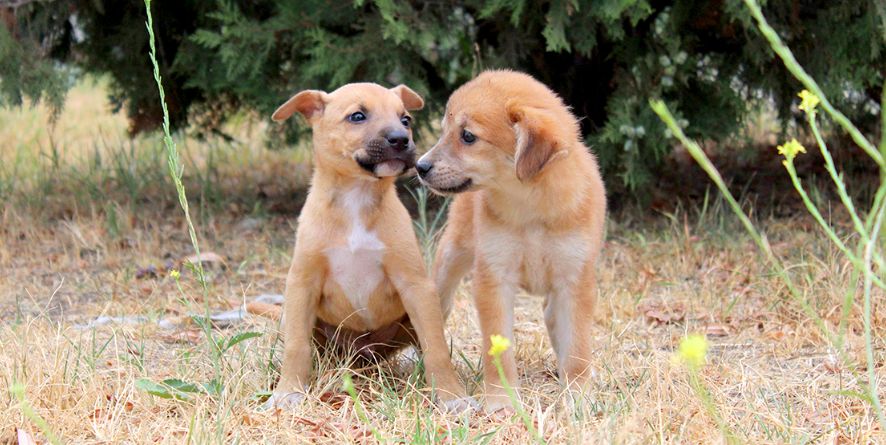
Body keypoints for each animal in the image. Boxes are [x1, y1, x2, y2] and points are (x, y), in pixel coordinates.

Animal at [268, 81, 478, 412]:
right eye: (357, 116)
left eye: (405, 119)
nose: (401, 139)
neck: (357, 197)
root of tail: (363, 355)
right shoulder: (302, 284)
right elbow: (296, 346)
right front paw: (288, 391)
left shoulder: (416, 287)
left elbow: (436, 348)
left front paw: (451, 395)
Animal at [418, 71, 612, 412]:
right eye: (444, 131)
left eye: (467, 136)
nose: (419, 166)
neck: (530, 208)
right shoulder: (494, 277)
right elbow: (498, 351)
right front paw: (501, 400)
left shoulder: (575, 280)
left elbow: (578, 347)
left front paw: (578, 395)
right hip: (452, 255)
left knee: (552, 316)